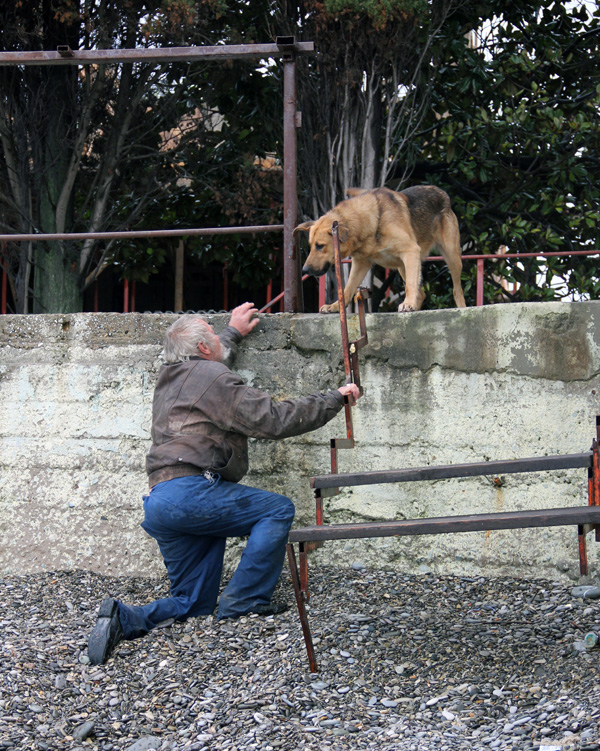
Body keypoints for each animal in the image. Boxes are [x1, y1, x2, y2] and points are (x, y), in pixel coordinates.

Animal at [292, 187, 466, 312]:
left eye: (320, 246)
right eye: (311, 246)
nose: (304, 270)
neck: (371, 221)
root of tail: (442, 193)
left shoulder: (410, 250)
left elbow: (410, 286)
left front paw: (408, 303)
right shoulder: (361, 263)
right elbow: (347, 288)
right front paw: (334, 306)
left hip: (451, 258)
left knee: (456, 290)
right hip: (403, 266)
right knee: (421, 292)